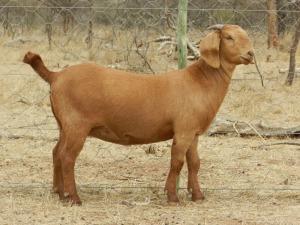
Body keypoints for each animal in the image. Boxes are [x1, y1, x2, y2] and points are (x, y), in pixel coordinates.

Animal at [23, 24, 254, 206]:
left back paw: (60, 194)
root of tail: (56, 76)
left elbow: (194, 163)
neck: (200, 81)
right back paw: (74, 198)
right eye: (228, 37)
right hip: (76, 125)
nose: (251, 54)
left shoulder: (194, 132)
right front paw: (172, 197)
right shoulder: (183, 130)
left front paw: (197, 196)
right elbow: (177, 162)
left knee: (56, 152)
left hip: (64, 125)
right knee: (67, 157)